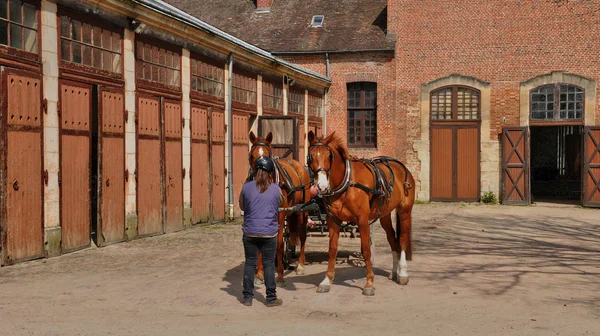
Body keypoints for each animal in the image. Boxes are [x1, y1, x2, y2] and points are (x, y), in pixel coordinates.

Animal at [246, 131, 312, 286]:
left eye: (268, 156)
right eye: (251, 155)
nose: (260, 180)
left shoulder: (279, 216)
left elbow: (280, 244)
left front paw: (280, 276)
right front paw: (259, 275)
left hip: (302, 212)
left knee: (302, 235)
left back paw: (300, 265)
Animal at [308, 131, 414, 296]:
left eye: (329, 156)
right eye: (311, 156)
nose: (322, 186)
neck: (346, 183)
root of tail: (402, 168)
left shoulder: (362, 220)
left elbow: (366, 250)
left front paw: (369, 283)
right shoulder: (333, 221)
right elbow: (332, 250)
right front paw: (327, 280)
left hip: (405, 210)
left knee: (402, 239)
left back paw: (402, 273)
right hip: (384, 214)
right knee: (392, 238)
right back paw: (394, 270)